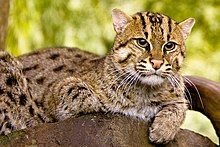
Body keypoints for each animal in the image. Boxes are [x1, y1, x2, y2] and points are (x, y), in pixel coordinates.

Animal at [0, 8, 194, 144]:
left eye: (169, 46)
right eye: (142, 42)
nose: (157, 63)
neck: (144, 91)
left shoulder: (178, 94)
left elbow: (179, 106)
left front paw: (163, 129)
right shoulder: (52, 93)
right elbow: (75, 89)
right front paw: (98, 103)